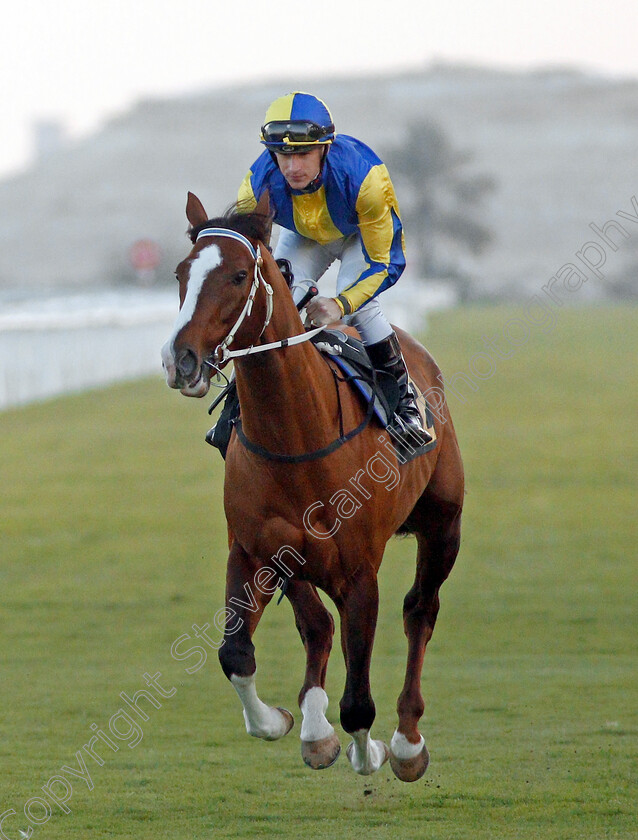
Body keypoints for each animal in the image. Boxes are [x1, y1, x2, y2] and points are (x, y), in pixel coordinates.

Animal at [162, 190, 464, 780]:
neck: (296, 438)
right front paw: (288, 724)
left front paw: (372, 751)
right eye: (182, 273)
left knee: (420, 610)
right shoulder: (253, 549)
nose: (179, 360)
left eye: (237, 276)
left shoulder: (360, 572)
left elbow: (360, 700)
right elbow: (237, 654)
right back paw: (315, 726)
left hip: (444, 525)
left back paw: (407, 742)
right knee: (318, 623)